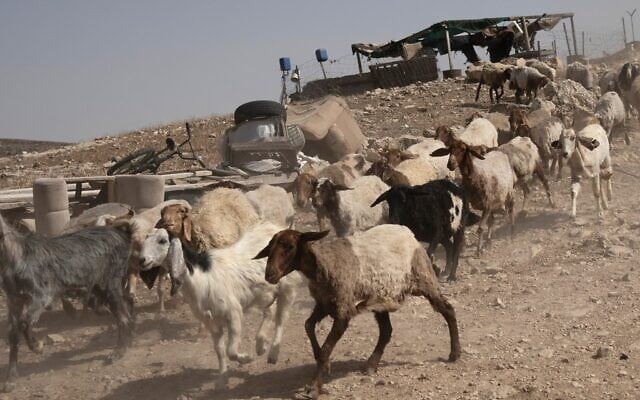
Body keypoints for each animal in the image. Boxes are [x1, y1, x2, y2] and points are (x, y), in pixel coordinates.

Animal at [0, 214, 134, 391]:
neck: (15, 255)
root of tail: (118, 233)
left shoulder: (41, 295)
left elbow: (24, 323)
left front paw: (37, 346)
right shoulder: (14, 301)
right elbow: (13, 334)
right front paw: (11, 378)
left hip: (110, 283)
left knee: (123, 317)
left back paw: (119, 351)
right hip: (98, 285)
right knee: (124, 306)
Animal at [142, 222, 303, 389]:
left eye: (162, 240)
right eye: (145, 238)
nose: (142, 260)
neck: (201, 276)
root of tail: (278, 229)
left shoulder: (233, 313)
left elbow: (231, 350)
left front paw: (247, 358)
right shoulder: (211, 322)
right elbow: (220, 350)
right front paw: (222, 380)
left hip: (287, 288)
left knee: (281, 320)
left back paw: (272, 354)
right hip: (264, 291)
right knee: (269, 311)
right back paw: (260, 345)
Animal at [254, 224, 460, 398]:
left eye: (289, 247)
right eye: (269, 248)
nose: (269, 274)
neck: (323, 264)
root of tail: (407, 231)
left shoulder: (343, 311)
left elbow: (326, 347)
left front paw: (313, 387)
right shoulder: (324, 304)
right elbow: (308, 325)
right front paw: (324, 364)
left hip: (424, 278)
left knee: (448, 310)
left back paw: (455, 353)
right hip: (382, 297)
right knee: (386, 331)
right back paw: (371, 365)